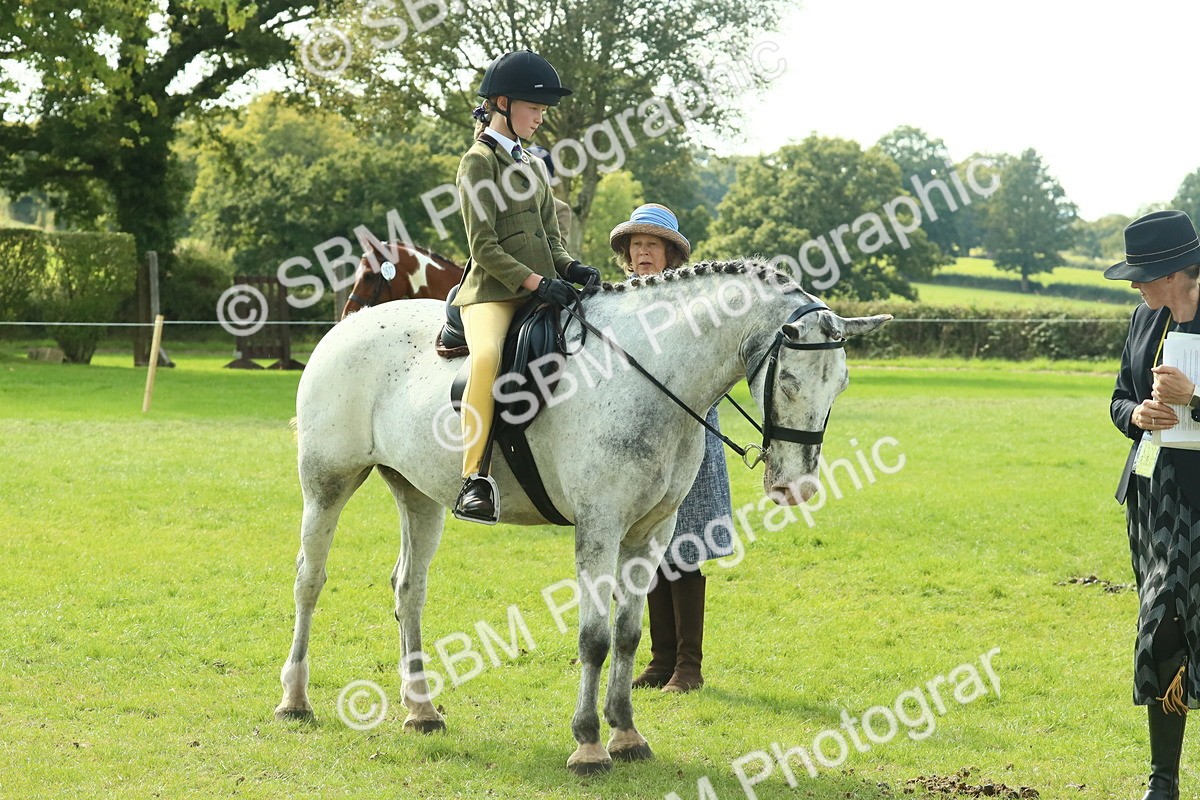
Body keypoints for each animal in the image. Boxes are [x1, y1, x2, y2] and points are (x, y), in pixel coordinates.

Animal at [274, 259, 891, 774]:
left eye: (840, 383)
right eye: (787, 380)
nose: (796, 487)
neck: (648, 373)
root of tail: (348, 325)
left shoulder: (650, 533)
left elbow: (628, 633)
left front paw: (627, 735)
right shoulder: (601, 526)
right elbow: (594, 637)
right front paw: (590, 744)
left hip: (418, 493)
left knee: (409, 589)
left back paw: (421, 710)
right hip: (327, 484)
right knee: (309, 580)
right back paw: (294, 700)